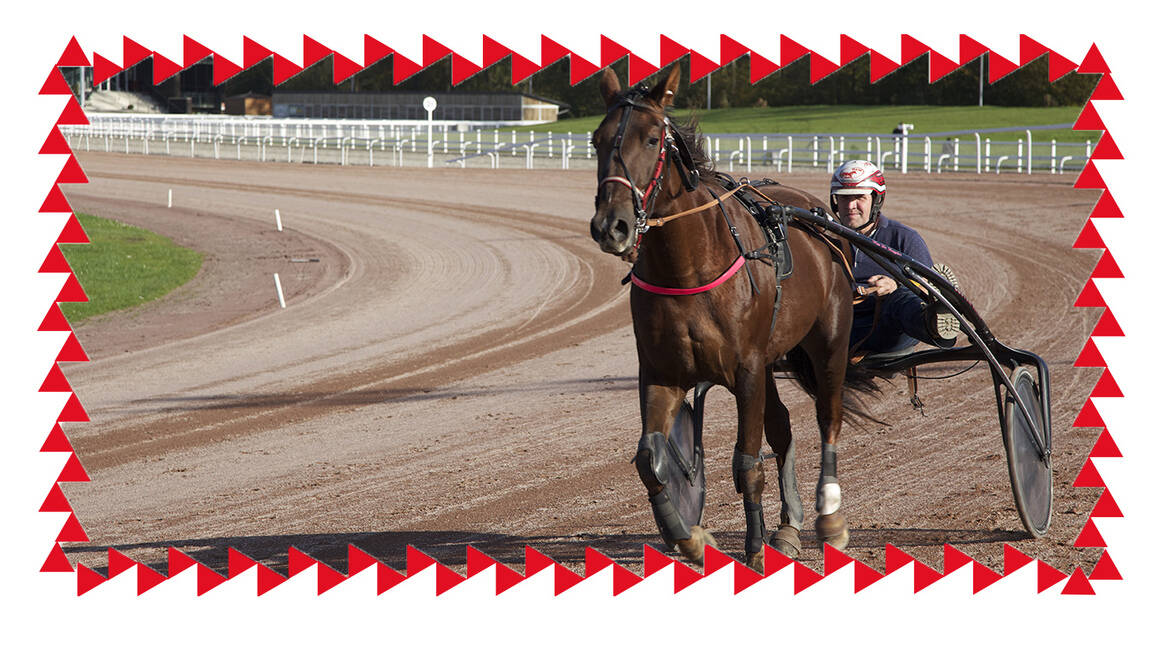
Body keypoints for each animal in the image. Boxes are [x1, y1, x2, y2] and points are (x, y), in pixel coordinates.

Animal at [589, 66, 865, 569]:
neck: (687, 266)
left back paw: (829, 517)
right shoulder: (660, 371)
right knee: (783, 427)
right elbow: (649, 460)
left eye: (653, 138)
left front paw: (753, 553)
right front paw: (690, 538)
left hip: (830, 341)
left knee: (827, 417)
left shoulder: (747, 369)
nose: (610, 225)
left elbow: (746, 464)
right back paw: (788, 526)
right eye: (597, 140)